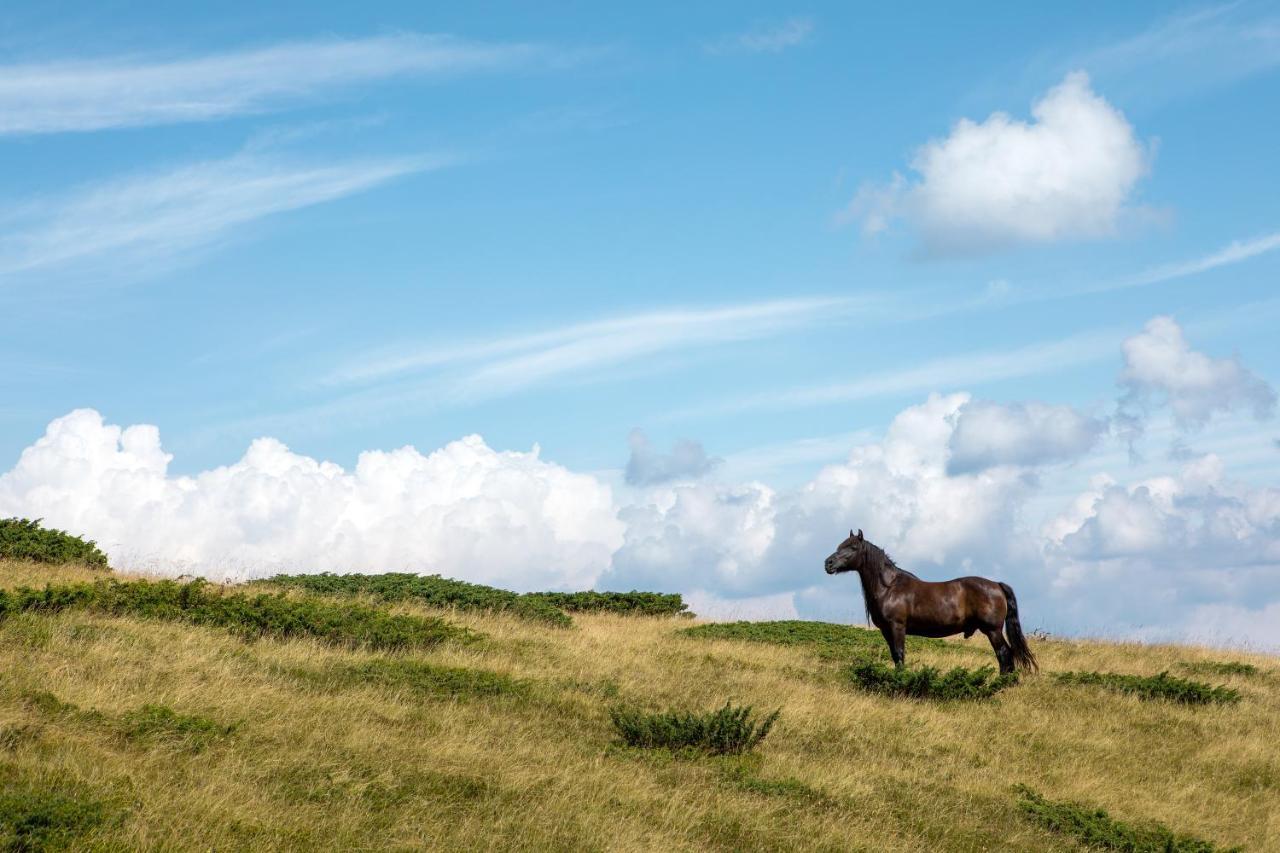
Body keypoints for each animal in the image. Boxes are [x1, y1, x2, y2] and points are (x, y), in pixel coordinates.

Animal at [824, 525, 1034, 671]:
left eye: (852, 547)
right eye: (839, 545)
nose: (828, 563)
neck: (890, 588)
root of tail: (996, 585)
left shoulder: (897, 627)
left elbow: (900, 654)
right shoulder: (886, 630)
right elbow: (894, 656)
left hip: (992, 630)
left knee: (1004, 654)